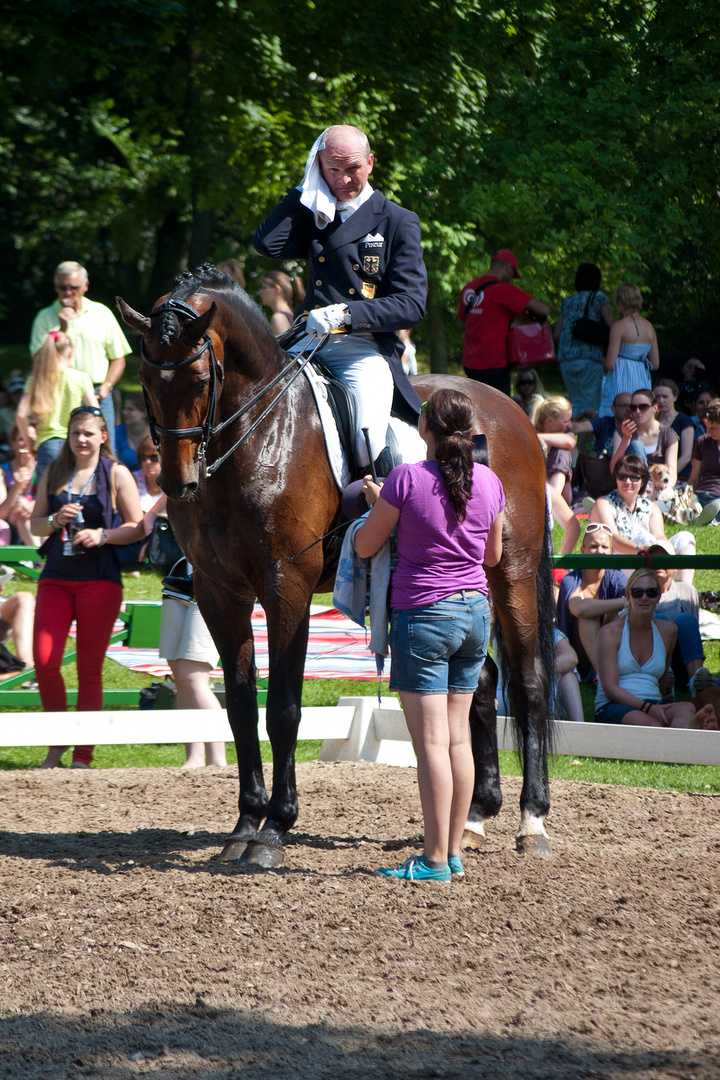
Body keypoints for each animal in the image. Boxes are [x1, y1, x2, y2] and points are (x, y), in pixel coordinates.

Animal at [119, 267, 557, 868]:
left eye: (200, 377)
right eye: (145, 378)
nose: (178, 481)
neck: (258, 434)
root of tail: (511, 410)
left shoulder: (287, 587)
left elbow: (283, 707)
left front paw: (274, 830)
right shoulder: (218, 592)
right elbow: (239, 706)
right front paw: (244, 824)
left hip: (511, 570)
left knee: (530, 681)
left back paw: (531, 821)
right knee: (484, 678)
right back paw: (474, 817)